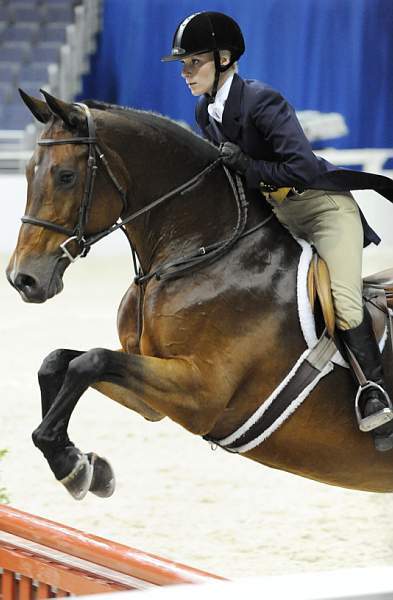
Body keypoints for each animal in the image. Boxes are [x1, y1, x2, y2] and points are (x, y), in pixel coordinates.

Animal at [5, 89, 392, 500]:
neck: (202, 252)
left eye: (65, 176)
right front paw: (82, 465)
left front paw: (72, 466)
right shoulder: (151, 397)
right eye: (27, 172)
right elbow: (58, 361)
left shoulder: (202, 394)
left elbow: (88, 361)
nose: (23, 278)